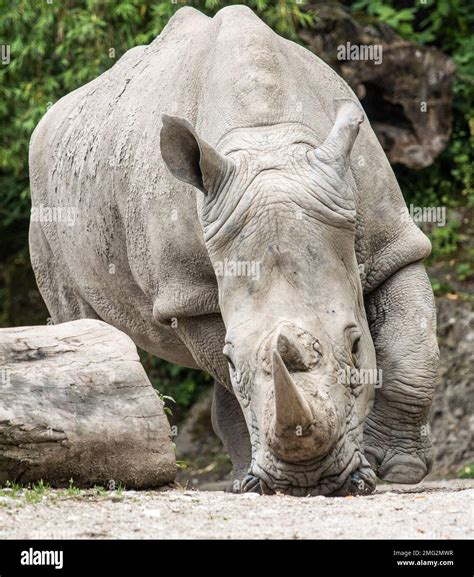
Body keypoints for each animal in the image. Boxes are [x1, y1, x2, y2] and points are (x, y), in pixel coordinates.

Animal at [29, 5, 438, 496]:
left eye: (357, 346)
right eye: (230, 355)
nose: (310, 483)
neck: (268, 140)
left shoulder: (391, 238)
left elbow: (413, 346)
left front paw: (398, 469)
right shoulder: (188, 292)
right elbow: (231, 370)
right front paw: (260, 477)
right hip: (45, 201)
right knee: (78, 319)